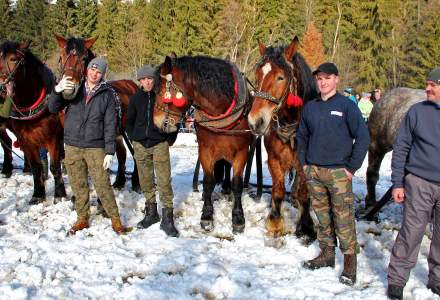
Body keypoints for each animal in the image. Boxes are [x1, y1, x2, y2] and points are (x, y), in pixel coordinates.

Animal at [0, 40, 66, 204]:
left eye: (14, 59)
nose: (1, 86)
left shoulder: (53, 138)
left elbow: (55, 167)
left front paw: (60, 194)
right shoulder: (27, 140)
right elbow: (36, 167)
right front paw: (37, 195)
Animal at [54, 34, 139, 190]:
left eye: (83, 58)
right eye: (61, 57)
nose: (69, 89)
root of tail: (132, 84)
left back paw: (136, 181)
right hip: (118, 133)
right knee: (122, 153)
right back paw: (119, 181)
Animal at [154, 55, 251, 233]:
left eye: (161, 91)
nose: (156, 123)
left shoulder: (242, 152)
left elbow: (237, 184)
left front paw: (238, 217)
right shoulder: (206, 151)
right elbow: (208, 182)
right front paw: (207, 215)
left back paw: (227, 190)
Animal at [248, 37, 316, 243]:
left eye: (281, 77)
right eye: (258, 75)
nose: (255, 121)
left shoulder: (305, 163)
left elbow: (304, 193)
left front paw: (305, 226)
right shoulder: (274, 159)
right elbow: (277, 190)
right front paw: (275, 222)